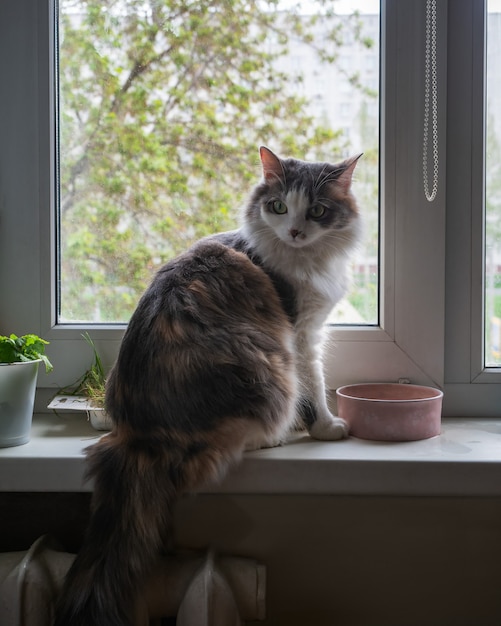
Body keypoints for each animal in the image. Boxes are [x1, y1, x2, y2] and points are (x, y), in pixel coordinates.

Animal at [53, 146, 360, 624]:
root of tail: (137, 434)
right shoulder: (301, 334)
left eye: (317, 211)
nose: (294, 231)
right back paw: (273, 437)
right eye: (278, 206)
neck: (302, 259)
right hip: (270, 373)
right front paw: (327, 428)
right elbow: (315, 388)